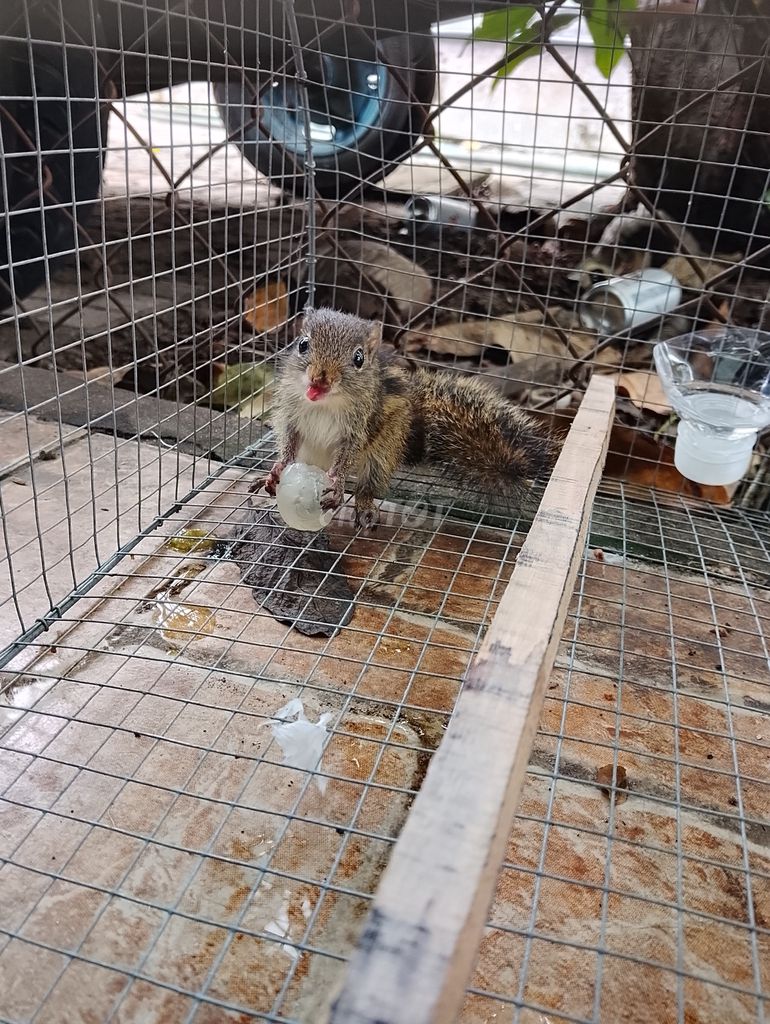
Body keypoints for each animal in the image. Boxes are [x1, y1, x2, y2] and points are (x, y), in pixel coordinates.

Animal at [262, 308, 561, 529]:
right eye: (303, 344)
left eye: (359, 358)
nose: (320, 379)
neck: (325, 404)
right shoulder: (291, 413)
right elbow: (288, 441)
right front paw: (277, 468)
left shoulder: (360, 425)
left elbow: (347, 456)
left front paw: (336, 484)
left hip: (383, 450)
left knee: (367, 486)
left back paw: (364, 505)